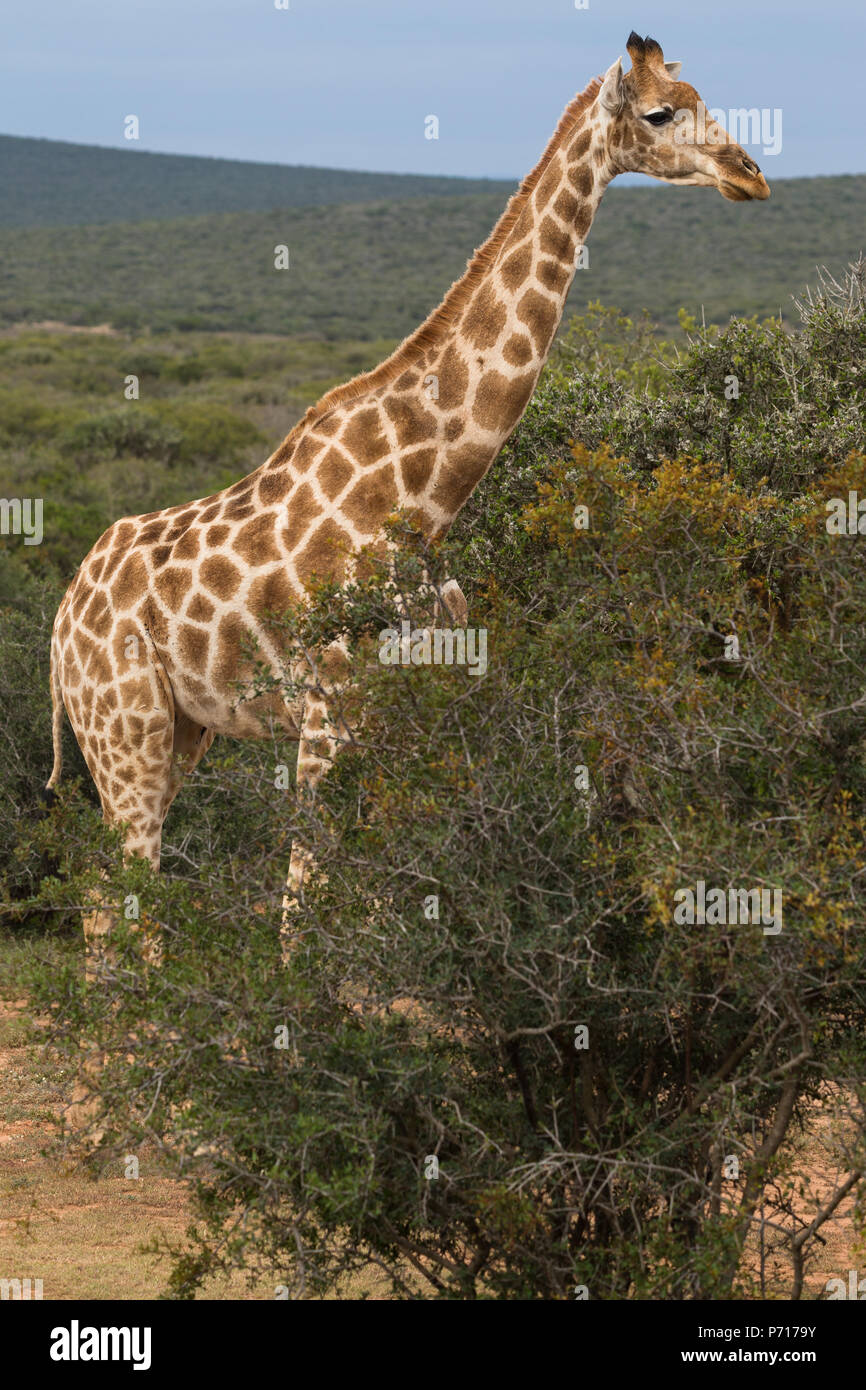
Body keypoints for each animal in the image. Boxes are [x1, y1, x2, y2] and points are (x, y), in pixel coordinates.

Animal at [45, 40, 767, 978]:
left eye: (701, 95)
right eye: (659, 113)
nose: (750, 174)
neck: (426, 499)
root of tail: (58, 623)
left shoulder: (415, 709)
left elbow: (394, 904)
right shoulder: (329, 710)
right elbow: (302, 910)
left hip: (175, 734)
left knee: (109, 902)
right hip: (121, 731)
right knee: (123, 898)